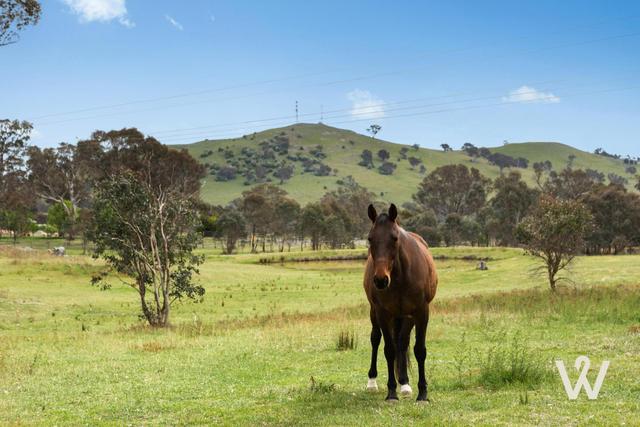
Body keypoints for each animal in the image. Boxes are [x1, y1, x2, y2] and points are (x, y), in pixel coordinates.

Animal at [362, 204, 438, 402]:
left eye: (394, 238)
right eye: (370, 238)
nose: (381, 280)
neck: (400, 276)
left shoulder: (421, 312)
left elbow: (419, 350)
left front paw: (422, 394)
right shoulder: (382, 312)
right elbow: (389, 350)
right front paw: (391, 393)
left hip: (405, 316)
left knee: (402, 343)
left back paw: (404, 383)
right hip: (375, 313)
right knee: (376, 338)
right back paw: (372, 382)